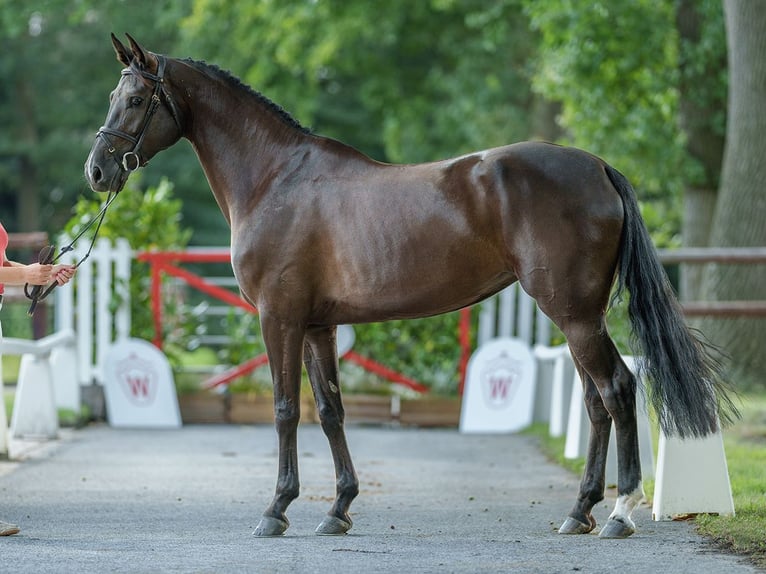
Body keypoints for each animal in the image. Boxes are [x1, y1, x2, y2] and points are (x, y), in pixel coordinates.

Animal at [84, 35, 736, 540]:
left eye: (137, 99)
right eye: (112, 96)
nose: (97, 171)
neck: (274, 178)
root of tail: (598, 166)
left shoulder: (280, 318)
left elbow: (285, 409)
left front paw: (276, 510)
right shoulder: (318, 324)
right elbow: (330, 410)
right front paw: (338, 510)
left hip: (575, 316)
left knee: (618, 390)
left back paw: (621, 513)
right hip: (575, 319)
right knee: (597, 402)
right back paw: (579, 513)